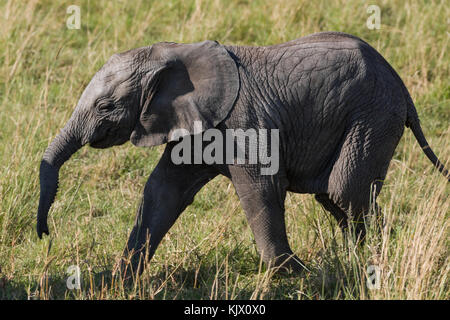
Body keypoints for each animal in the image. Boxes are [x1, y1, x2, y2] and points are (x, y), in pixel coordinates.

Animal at [36, 31, 450, 278]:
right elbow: (162, 192)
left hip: (373, 115)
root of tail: (402, 87)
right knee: (337, 196)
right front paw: (121, 279)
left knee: (345, 190)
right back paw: (359, 260)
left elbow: (260, 189)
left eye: (105, 106)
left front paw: (291, 273)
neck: (172, 51)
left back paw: (375, 261)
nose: (45, 235)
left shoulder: (243, 121)